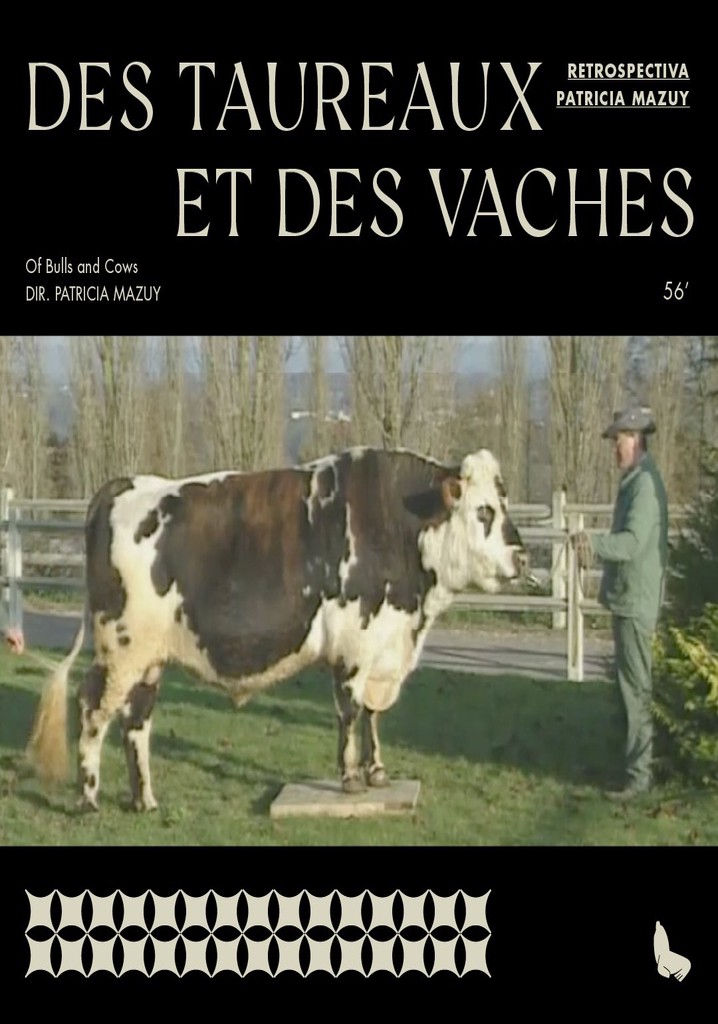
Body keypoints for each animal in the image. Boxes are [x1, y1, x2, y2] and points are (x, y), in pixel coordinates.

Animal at [27, 446, 527, 811]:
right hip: (120, 649)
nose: (521, 558)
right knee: (93, 709)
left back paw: (144, 801)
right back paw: (88, 800)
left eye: (503, 504)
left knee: (136, 721)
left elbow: (372, 714)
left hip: (148, 658)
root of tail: (125, 486)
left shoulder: (383, 647)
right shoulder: (353, 645)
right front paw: (350, 779)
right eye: (484, 511)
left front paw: (378, 773)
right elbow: (351, 712)